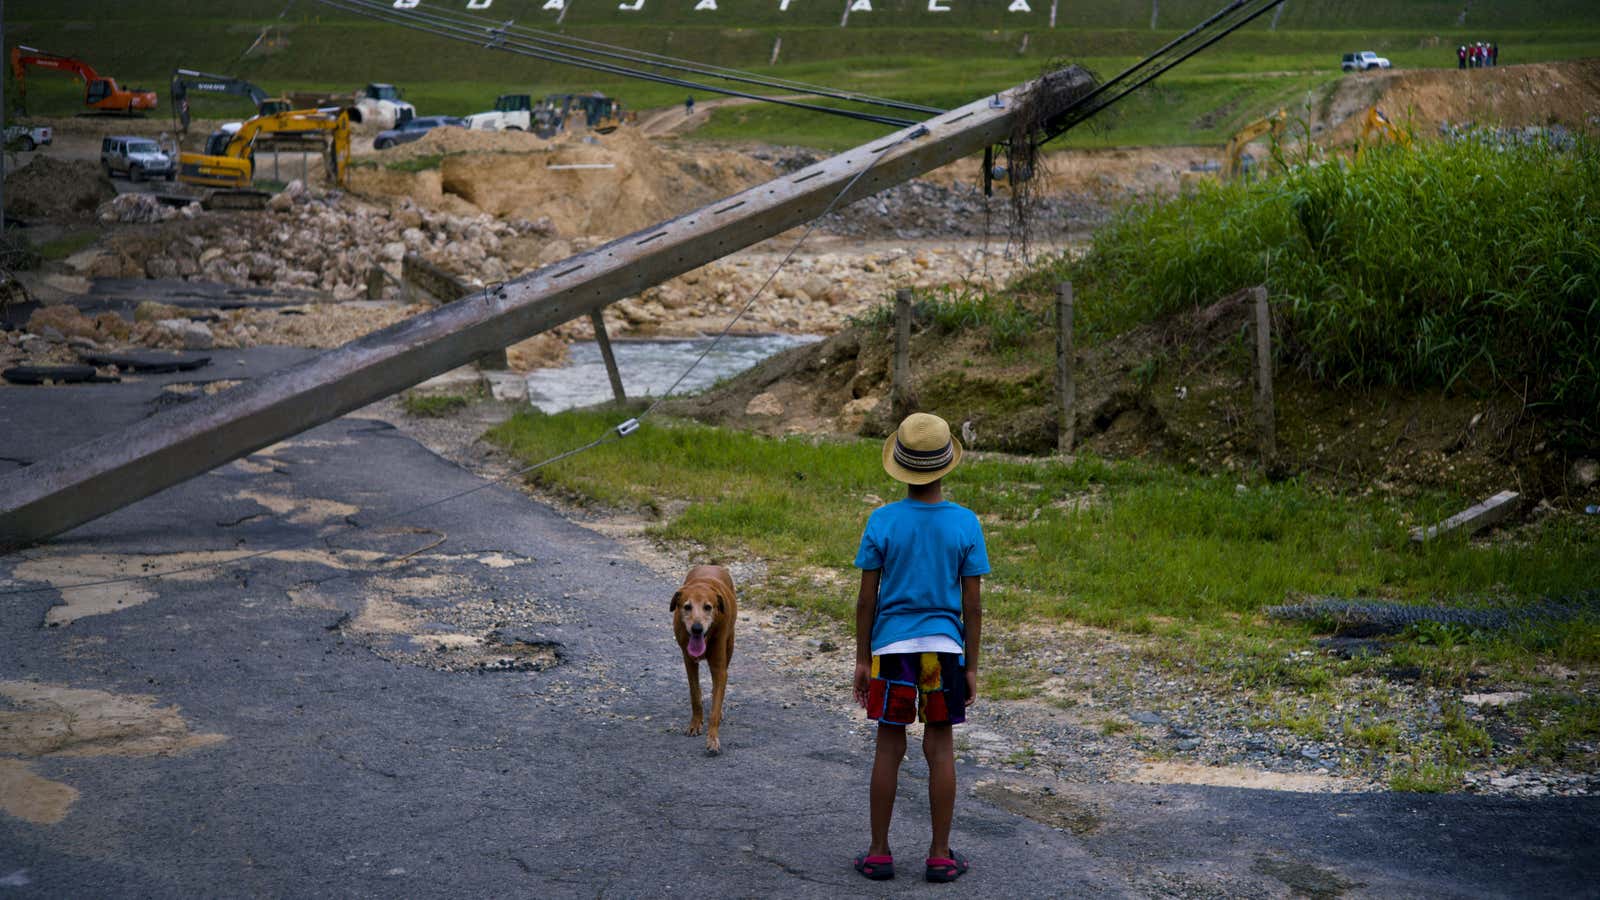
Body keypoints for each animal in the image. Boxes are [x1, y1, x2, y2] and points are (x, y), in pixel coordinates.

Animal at [668, 566, 736, 749]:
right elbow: (695, 694)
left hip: (730, 645)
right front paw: (695, 724)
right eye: (687, 606)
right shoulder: (689, 662)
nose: (697, 628)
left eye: (708, 607)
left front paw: (712, 738)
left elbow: (715, 706)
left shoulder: (719, 668)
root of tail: (711, 565)